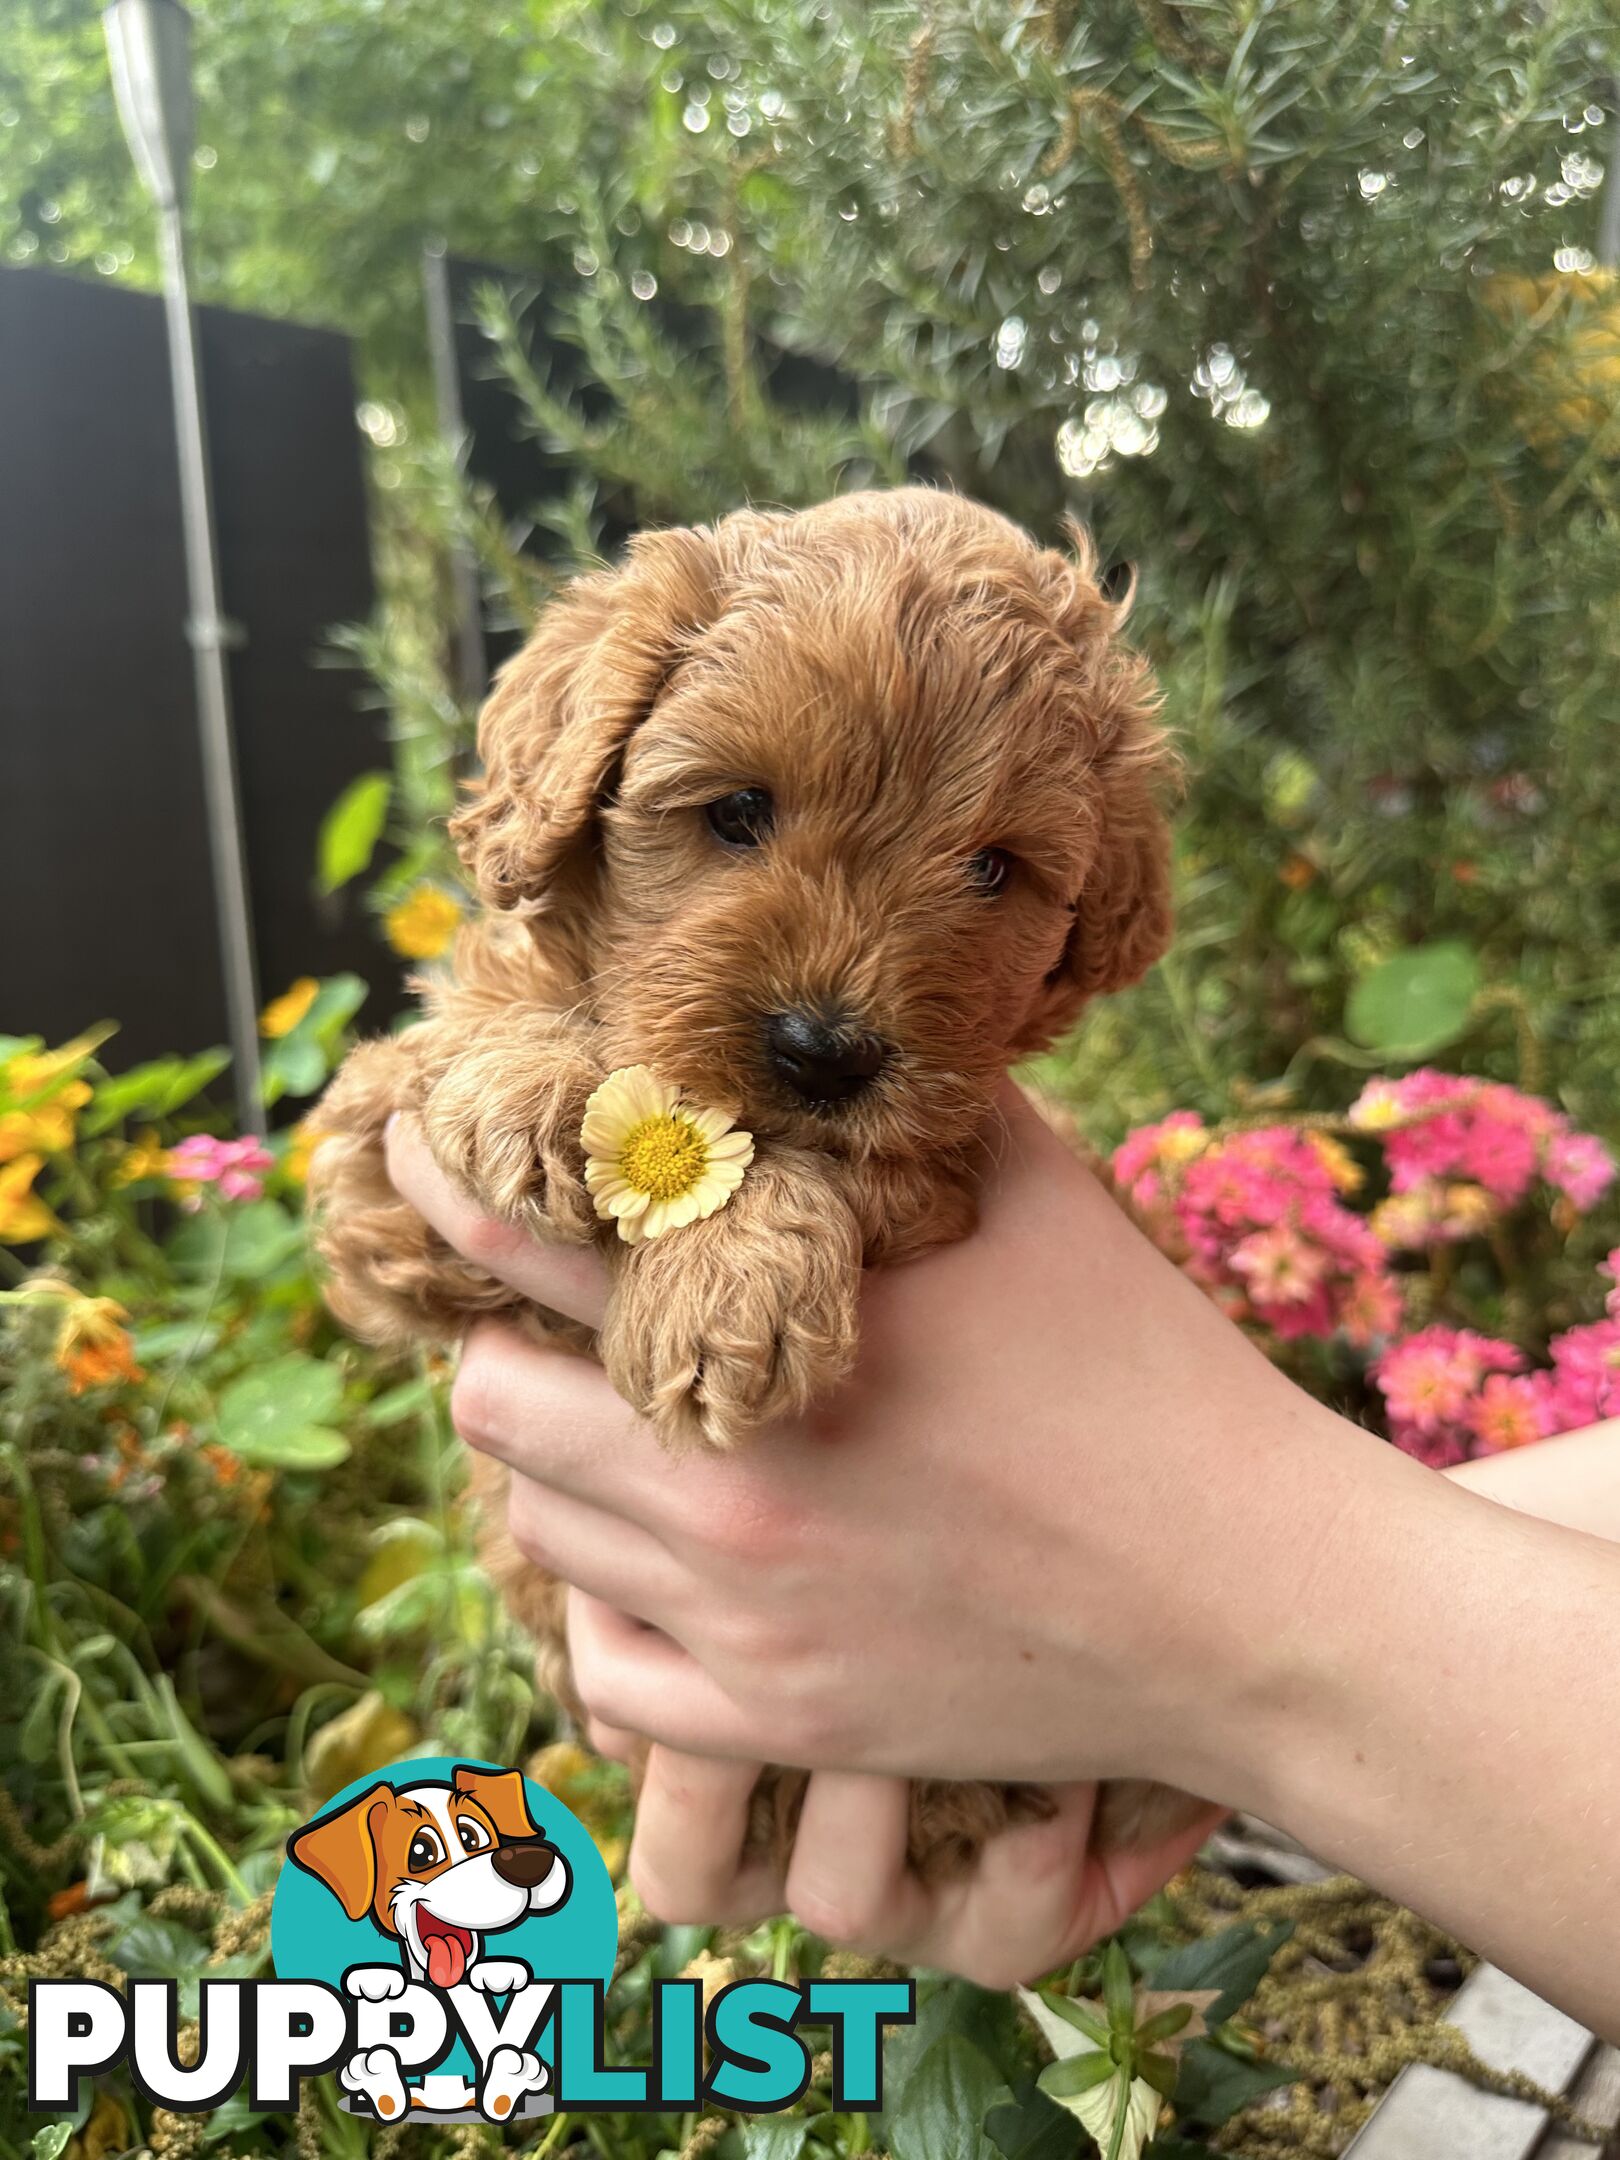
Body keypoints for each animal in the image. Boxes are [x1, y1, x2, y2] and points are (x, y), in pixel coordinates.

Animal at [311, 486, 1183, 1874]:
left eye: (993, 870)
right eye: (735, 812)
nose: (826, 1050)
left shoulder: (937, 1161)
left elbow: (825, 1163)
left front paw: (726, 1289)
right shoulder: (370, 1195)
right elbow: (441, 1058)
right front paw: (533, 1079)